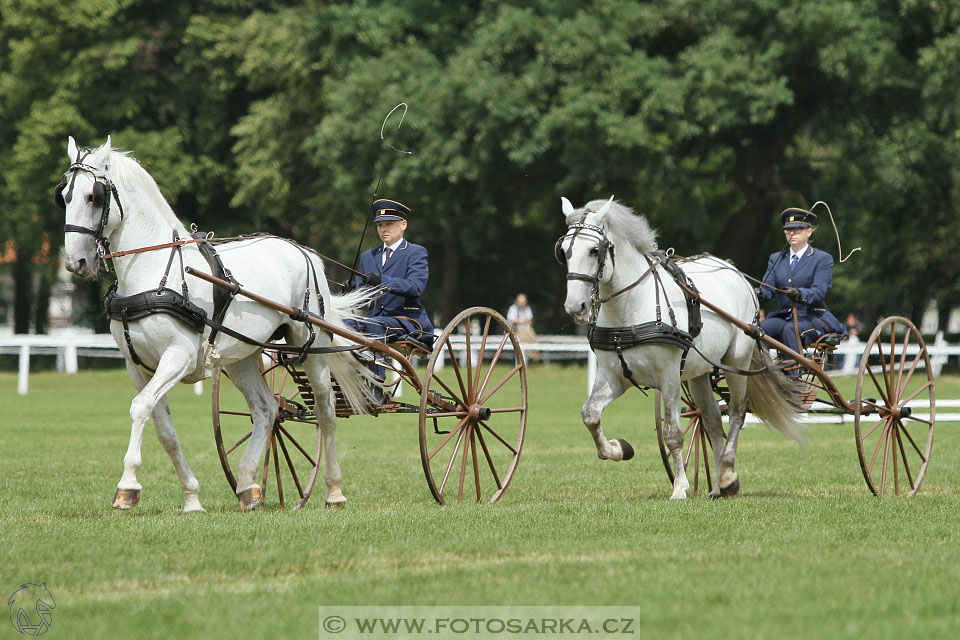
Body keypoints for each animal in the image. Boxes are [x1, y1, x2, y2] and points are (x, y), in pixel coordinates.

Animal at [58, 138, 376, 512]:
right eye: (64, 196)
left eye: (93, 196)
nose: (75, 262)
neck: (154, 272)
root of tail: (303, 250)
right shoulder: (138, 367)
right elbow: (164, 428)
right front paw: (191, 496)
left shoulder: (178, 357)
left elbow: (140, 408)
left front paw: (128, 486)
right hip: (243, 357)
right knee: (267, 410)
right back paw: (248, 487)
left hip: (314, 348)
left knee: (325, 412)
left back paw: (333, 490)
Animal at [556, 198, 804, 498]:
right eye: (564, 252)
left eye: (594, 250)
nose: (575, 307)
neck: (630, 307)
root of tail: (733, 270)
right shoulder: (613, 376)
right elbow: (590, 415)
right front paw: (619, 448)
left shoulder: (669, 375)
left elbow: (672, 433)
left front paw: (680, 487)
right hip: (700, 372)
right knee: (710, 418)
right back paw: (719, 484)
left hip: (736, 361)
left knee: (736, 411)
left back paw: (728, 474)